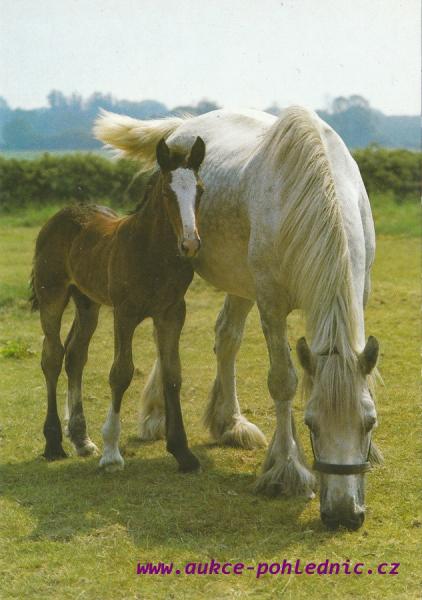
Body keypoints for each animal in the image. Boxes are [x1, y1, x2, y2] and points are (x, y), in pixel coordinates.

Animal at [30, 136, 206, 474]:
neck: (152, 252)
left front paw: (183, 452)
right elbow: (121, 373)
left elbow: (172, 374)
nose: (190, 244)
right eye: (167, 193)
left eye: (200, 190)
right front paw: (112, 452)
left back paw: (81, 439)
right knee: (52, 357)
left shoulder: (172, 313)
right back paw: (54, 442)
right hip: (52, 295)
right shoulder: (125, 313)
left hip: (87, 303)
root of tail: (61, 215)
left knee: (75, 355)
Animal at [94, 106, 381, 530]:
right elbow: (283, 382)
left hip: (239, 285)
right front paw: (287, 469)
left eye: (369, 422)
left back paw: (229, 422)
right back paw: (156, 418)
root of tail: (182, 126)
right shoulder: (271, 304)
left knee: (225, 338)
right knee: (173, 342)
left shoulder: (357, 295)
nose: (344, 515)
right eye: (311, 424)